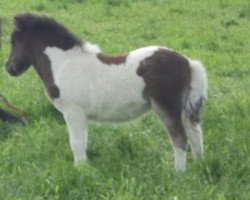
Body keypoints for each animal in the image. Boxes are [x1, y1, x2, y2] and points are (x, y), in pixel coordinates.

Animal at [5, 13, 207, 171]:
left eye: (14, 42)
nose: (9, 68)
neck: (63, 63)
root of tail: (187, 62)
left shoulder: (73, 112)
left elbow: (76, 143)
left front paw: (80, 171)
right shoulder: (81, 115)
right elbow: (83, 142)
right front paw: (85, 168)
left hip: (167, 108)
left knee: (180, 139)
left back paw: (178, 174)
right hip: (183, 110)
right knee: (195, 134)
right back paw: (199, 166)